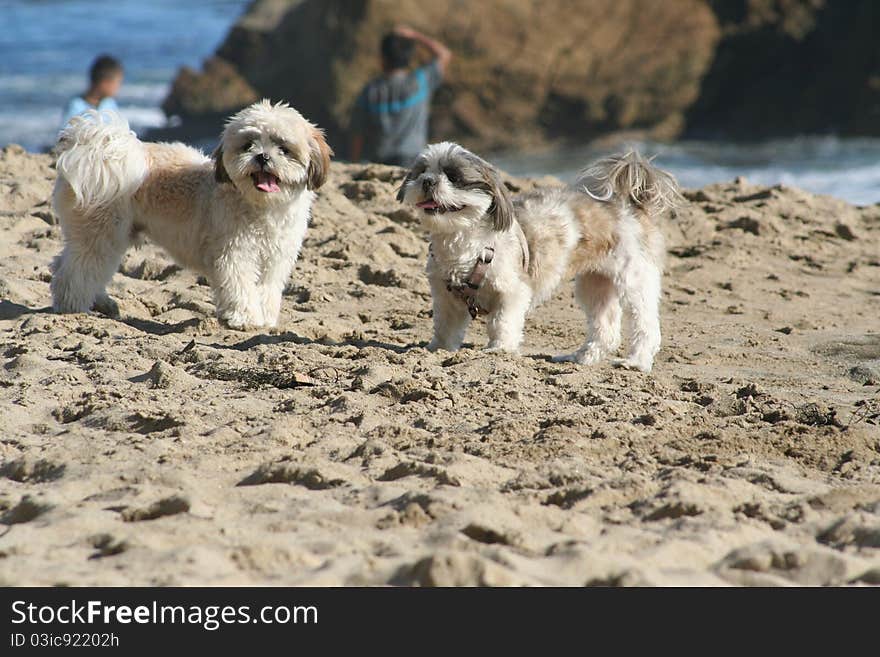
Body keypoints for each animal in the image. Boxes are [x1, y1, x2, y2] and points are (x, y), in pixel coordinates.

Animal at [52, 99, 334, 328]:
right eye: (248, 145)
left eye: (284, 149)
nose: (263, 157)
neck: (263, 206)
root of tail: (102, 150)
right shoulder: (235, 254)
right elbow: (240, 286)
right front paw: (243, 318)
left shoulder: (276, 259)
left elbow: (266, 289)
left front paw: (263, 317)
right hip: (101, 231)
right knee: (78, 268)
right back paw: (73, 305)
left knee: (71, 263)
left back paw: (100, 302)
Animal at [398, 141, 680, 372]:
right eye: (421, 172)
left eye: (454, 176)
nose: (428, 181)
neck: (464, 240)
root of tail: (628, 204)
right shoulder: (446, 296)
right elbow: (445, 326)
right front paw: (436, 350)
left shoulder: (511, 291)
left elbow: (502, 322)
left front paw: (498, 350)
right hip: (595, 284)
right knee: (605, 328)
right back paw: (582, 357)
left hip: (634, 278)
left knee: (645, 324)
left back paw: (636, 362)